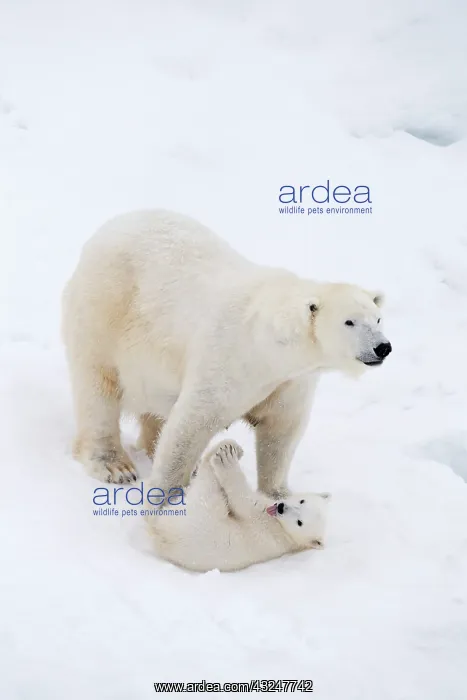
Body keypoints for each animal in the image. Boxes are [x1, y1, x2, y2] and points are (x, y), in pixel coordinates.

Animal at [61, 209, 391, 497]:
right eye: (349, 322)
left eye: (377, 319)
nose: (382, 347)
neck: (269, 345)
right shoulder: (228, 359)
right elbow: (191, 424)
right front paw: (165, 493)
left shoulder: (291, 381)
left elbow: (281, 431)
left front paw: (280, 494)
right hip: (104, 310)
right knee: (98, 388)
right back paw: (115, 466)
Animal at [146, 438, 330, 572]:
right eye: (302, 501)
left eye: (300, 522)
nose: (281, 507)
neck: (287, 535)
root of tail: (160, 535)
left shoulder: (264, 524)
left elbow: (242, 499)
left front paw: (227, 459)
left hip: (201, 515)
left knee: (208, 486)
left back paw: (224, 452)